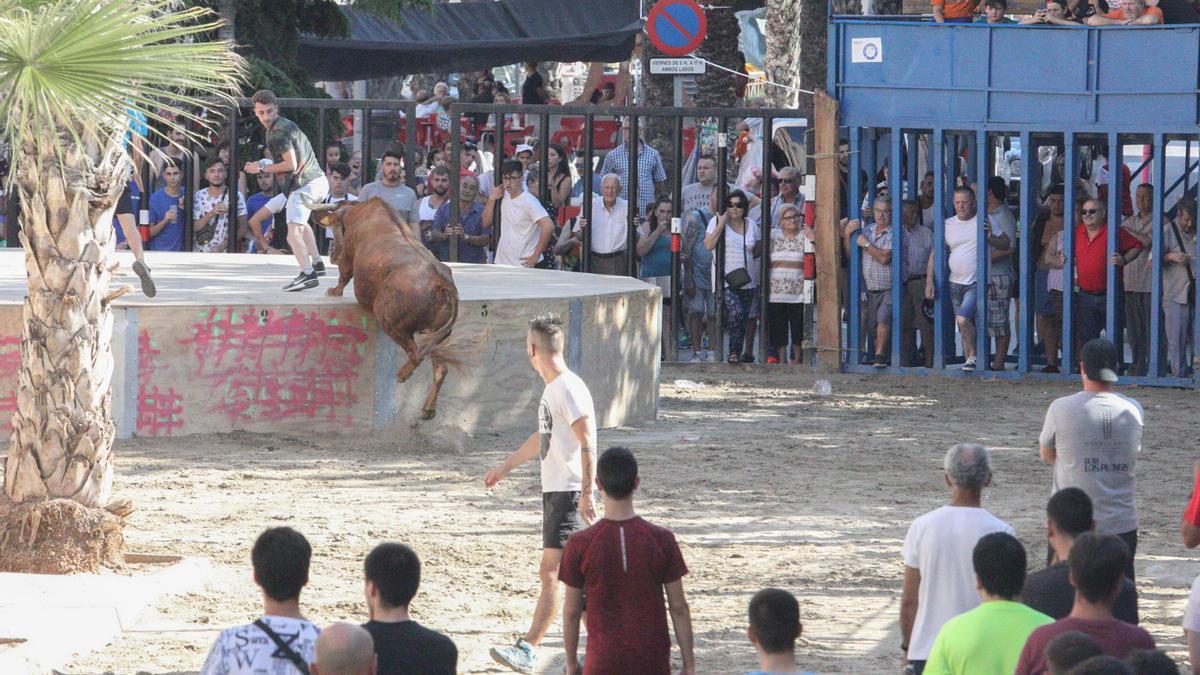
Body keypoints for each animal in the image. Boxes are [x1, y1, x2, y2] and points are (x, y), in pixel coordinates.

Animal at [309, 193, 458, 415]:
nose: (332, 255)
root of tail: (441, 281)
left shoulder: (348, 257)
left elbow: (344, 275)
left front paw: (333, 292)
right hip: (436, 335)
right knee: (441, 367)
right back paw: (427, 409)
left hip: (391, 322)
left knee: (416, 354)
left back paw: (402, 375)